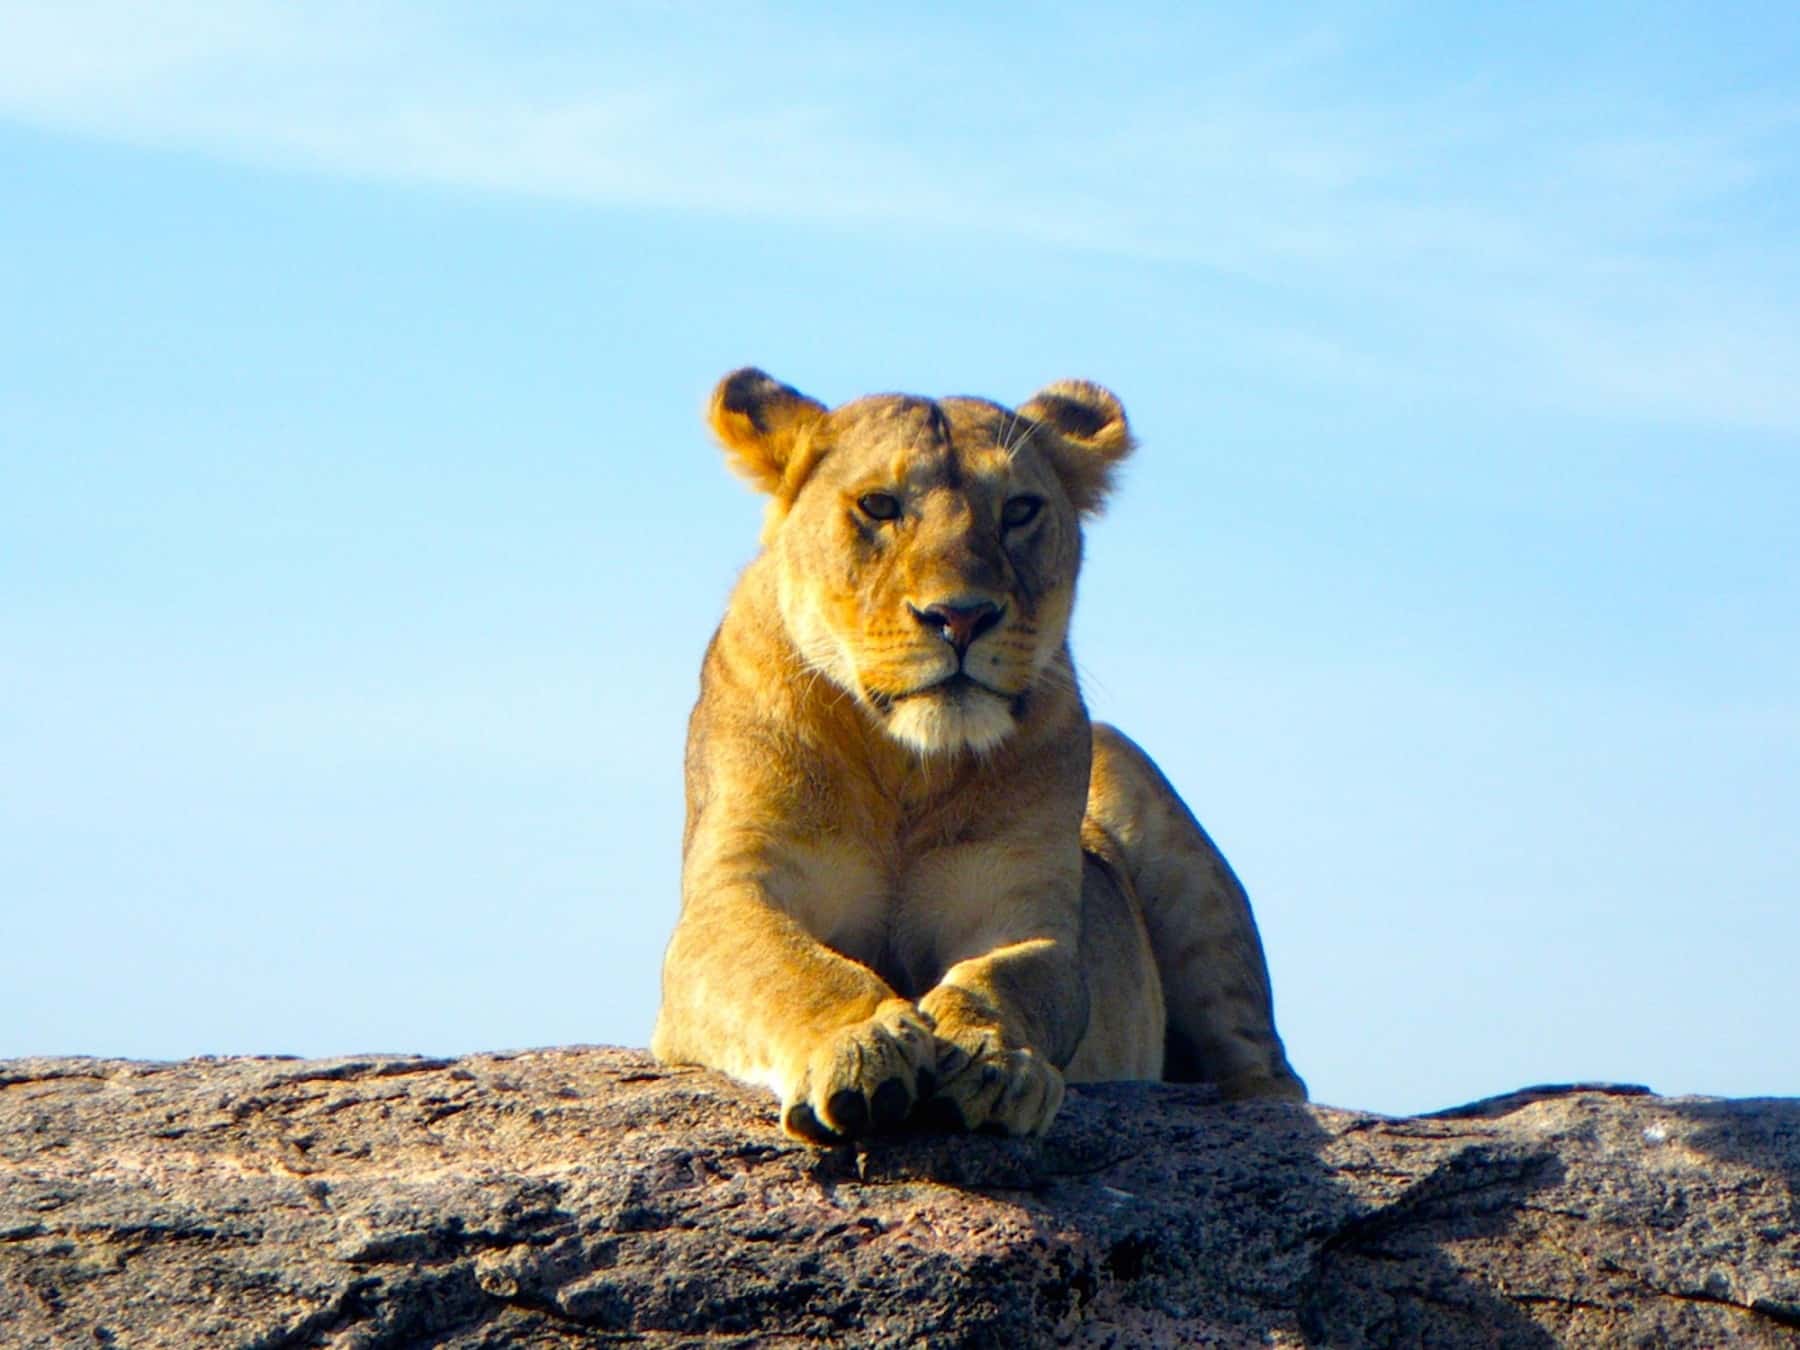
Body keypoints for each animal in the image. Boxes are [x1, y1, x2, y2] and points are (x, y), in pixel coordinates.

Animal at [651, 369, 1305, 1142]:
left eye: (1018, 510)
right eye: (880, 505)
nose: (960, 616)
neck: (907, 767)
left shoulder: (1027, 913)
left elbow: (1005, 979)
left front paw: (990, 1061)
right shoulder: (730, 899)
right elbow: (794, 970)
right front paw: (860, 1048)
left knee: (1270, 1069)